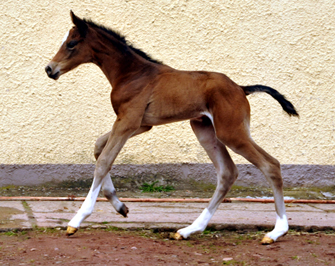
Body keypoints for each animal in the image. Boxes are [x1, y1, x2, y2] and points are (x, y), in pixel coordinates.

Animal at [45, 11, 300, 244]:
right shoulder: (141, 124)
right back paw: (188, 230)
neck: (131, 73)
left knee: (270, 165)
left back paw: (276, 232)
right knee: (227, 173)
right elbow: (99, 147)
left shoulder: (128, 122)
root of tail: (241, 88)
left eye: (71, 43)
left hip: (231, 132)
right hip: (205, 130)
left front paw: (77, 220)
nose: (49, 69)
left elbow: (104, 160)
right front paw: (120, 206)